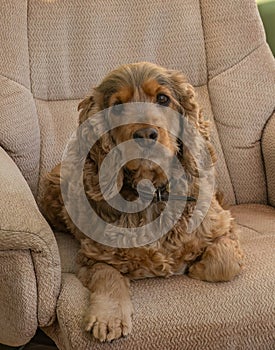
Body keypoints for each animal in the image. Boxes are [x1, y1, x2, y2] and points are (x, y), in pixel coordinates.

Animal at [42, 62, 245, 342]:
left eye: (163, 98)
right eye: (117, 106)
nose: (146, 133)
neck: (151, 194)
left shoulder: (223, 225)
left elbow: (225, 261)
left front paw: (197, 267)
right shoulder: (93, 255)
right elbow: (108, 276)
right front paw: (108, 317)